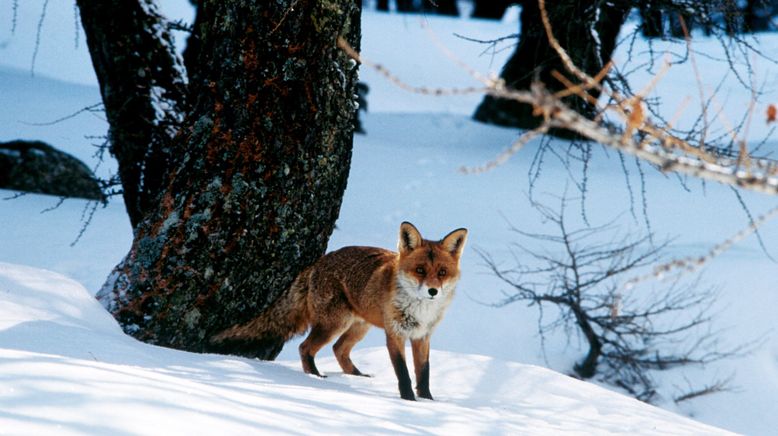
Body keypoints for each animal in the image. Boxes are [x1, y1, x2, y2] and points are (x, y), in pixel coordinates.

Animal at [212, 223, 464, 400]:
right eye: (420, 270)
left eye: (442, 272)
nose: (433, 291)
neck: (421, 310)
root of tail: (317, 262)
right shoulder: (395, 334)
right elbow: (402, 372)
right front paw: (409, 400)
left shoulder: (422, 336)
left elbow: (424, 373)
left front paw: (428, 400)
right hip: (334, 324)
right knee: (306, 347)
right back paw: (315, 376)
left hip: (359, 327)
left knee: (338, 349)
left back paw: (357, 376)